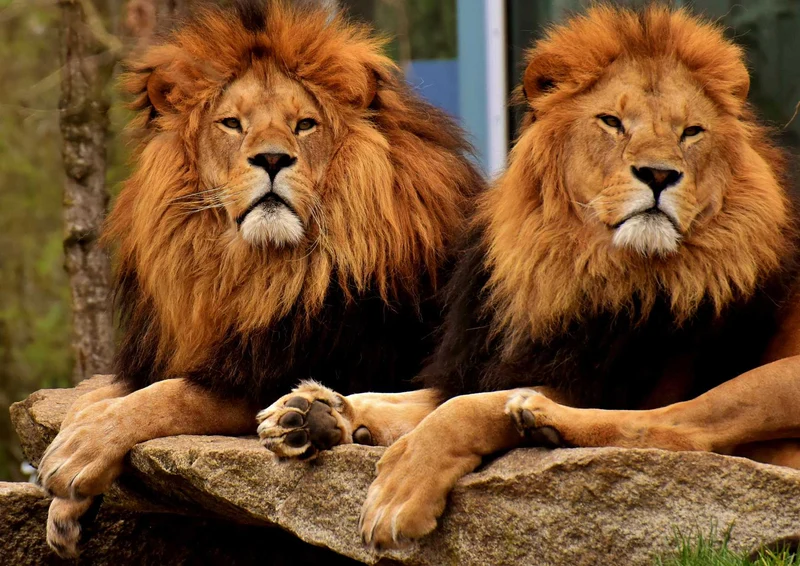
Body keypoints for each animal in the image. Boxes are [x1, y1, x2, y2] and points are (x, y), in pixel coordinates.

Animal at [38, 0, 482, 557]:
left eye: (305, 124)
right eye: (231, 123)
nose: (272, 158)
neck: (257, 270)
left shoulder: (282, 367)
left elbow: (169, 395)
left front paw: (75, 454)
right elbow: (94, 398)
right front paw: (66, 505)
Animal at [257, 5, 800, 548]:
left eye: (691, 132)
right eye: (612, 122)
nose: (660, 174)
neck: (572, 265)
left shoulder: (611, 381)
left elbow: (463, 410)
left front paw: (399, 490)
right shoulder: (487, 361)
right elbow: (407, 399)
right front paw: (309, 411)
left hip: (778, 377)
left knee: (676, 431)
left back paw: (540, 420)